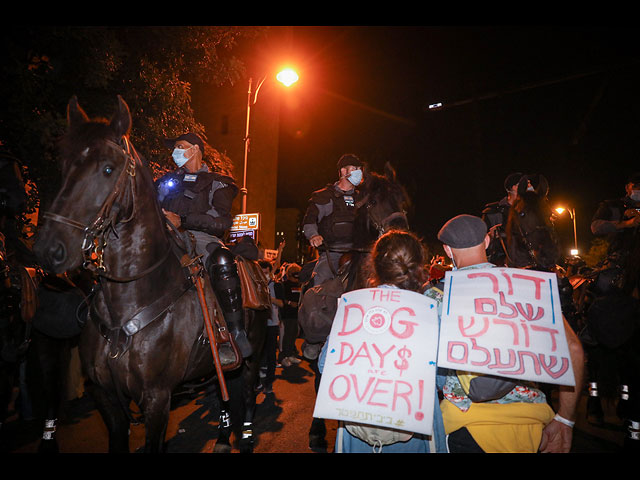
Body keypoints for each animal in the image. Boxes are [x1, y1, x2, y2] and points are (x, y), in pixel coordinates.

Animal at [33, 96, 264, 454]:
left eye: (108, 169)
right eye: (64, 165)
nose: (49, 248)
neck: (126, 305)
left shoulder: (156, 399)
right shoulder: (106, 397)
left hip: (252, 356)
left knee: (249, 392)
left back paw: (246, 434)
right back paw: (224, 438)